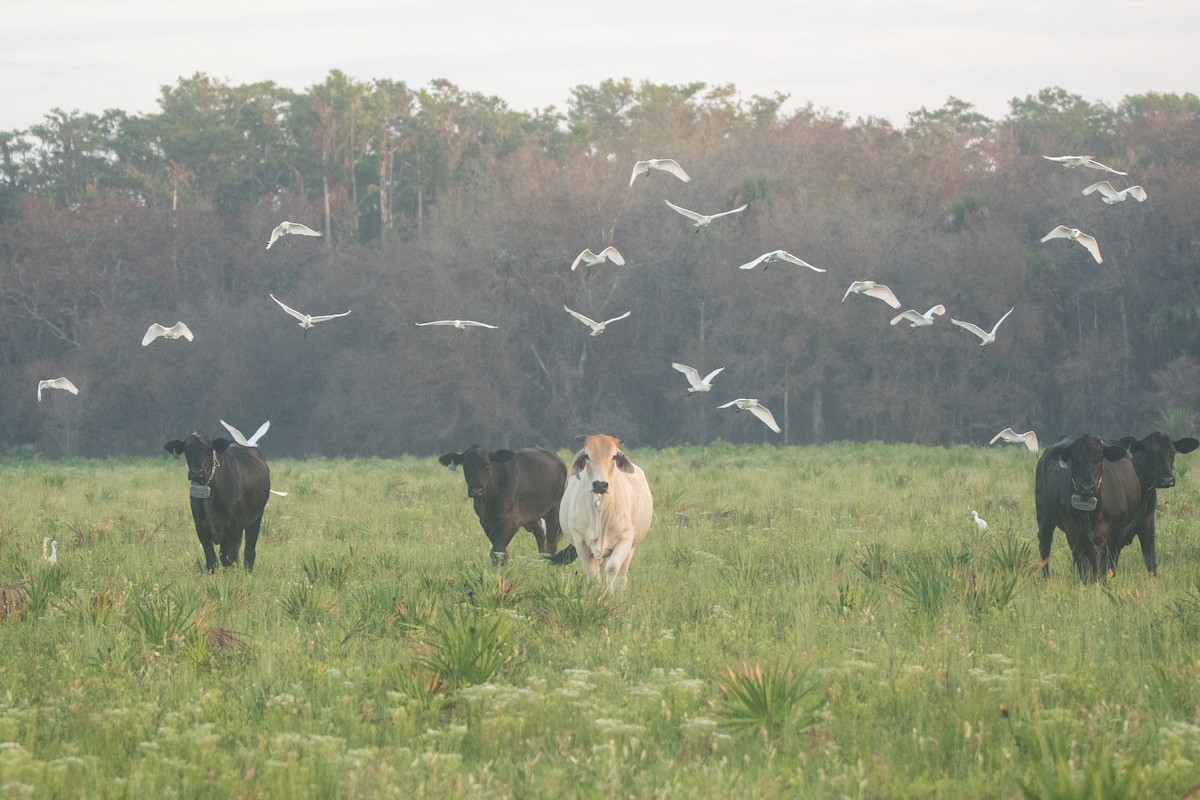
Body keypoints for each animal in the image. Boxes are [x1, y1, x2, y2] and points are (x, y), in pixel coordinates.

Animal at [165, 431, 271, 573]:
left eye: (209, 449)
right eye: (187, 450)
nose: (197, 473)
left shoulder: (236, 526)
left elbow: (232, 558)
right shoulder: (201, 526)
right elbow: (212, 558)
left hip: (256, 517)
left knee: (249, 550)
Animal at [438, 444, 567, 564]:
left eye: (487, 466)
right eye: (465, 467)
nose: (476, 490)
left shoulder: (511, 522)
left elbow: (497, 550)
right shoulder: (486, 522)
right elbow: (501, 551)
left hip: (555, 510)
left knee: (552, 543)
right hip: (533, 515)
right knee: (541, 536)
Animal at [552, 434, 654, 595]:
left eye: (614, 456)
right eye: (586, 455)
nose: (600, 484)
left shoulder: (625, 539)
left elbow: (612, 568)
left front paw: (610, 594)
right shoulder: (580, 543)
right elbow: (593, 576)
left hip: (631, 547)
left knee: (621, 577)